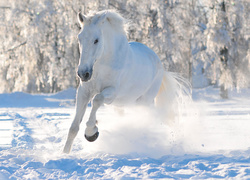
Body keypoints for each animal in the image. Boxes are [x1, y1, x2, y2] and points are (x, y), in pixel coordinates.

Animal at [63, 9, 185, 153]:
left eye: (96, 40)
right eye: (79, 38)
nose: (83, 73)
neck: (102, 65)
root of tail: (159, 63)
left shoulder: (112, 93)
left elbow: (97, 100)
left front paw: (91, 132)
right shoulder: (84, 92)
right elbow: (73, 128)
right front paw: (64, 153)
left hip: (143, 102)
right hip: (122, 106)